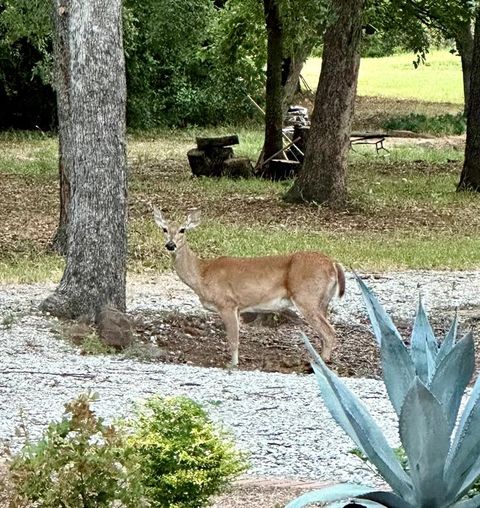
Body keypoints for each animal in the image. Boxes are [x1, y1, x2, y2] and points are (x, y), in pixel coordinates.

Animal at [154, 208, 344, 368]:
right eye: (164, 229)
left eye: (182, 230)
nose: (170, 245)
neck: (202, 274)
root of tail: (333, 264)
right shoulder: (238, 308)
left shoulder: (227, 303)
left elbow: (233, 339)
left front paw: (232, 364)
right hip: (323, 301)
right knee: (325, 332)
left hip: (306, 297)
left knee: (329, 332)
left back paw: (319, 363)